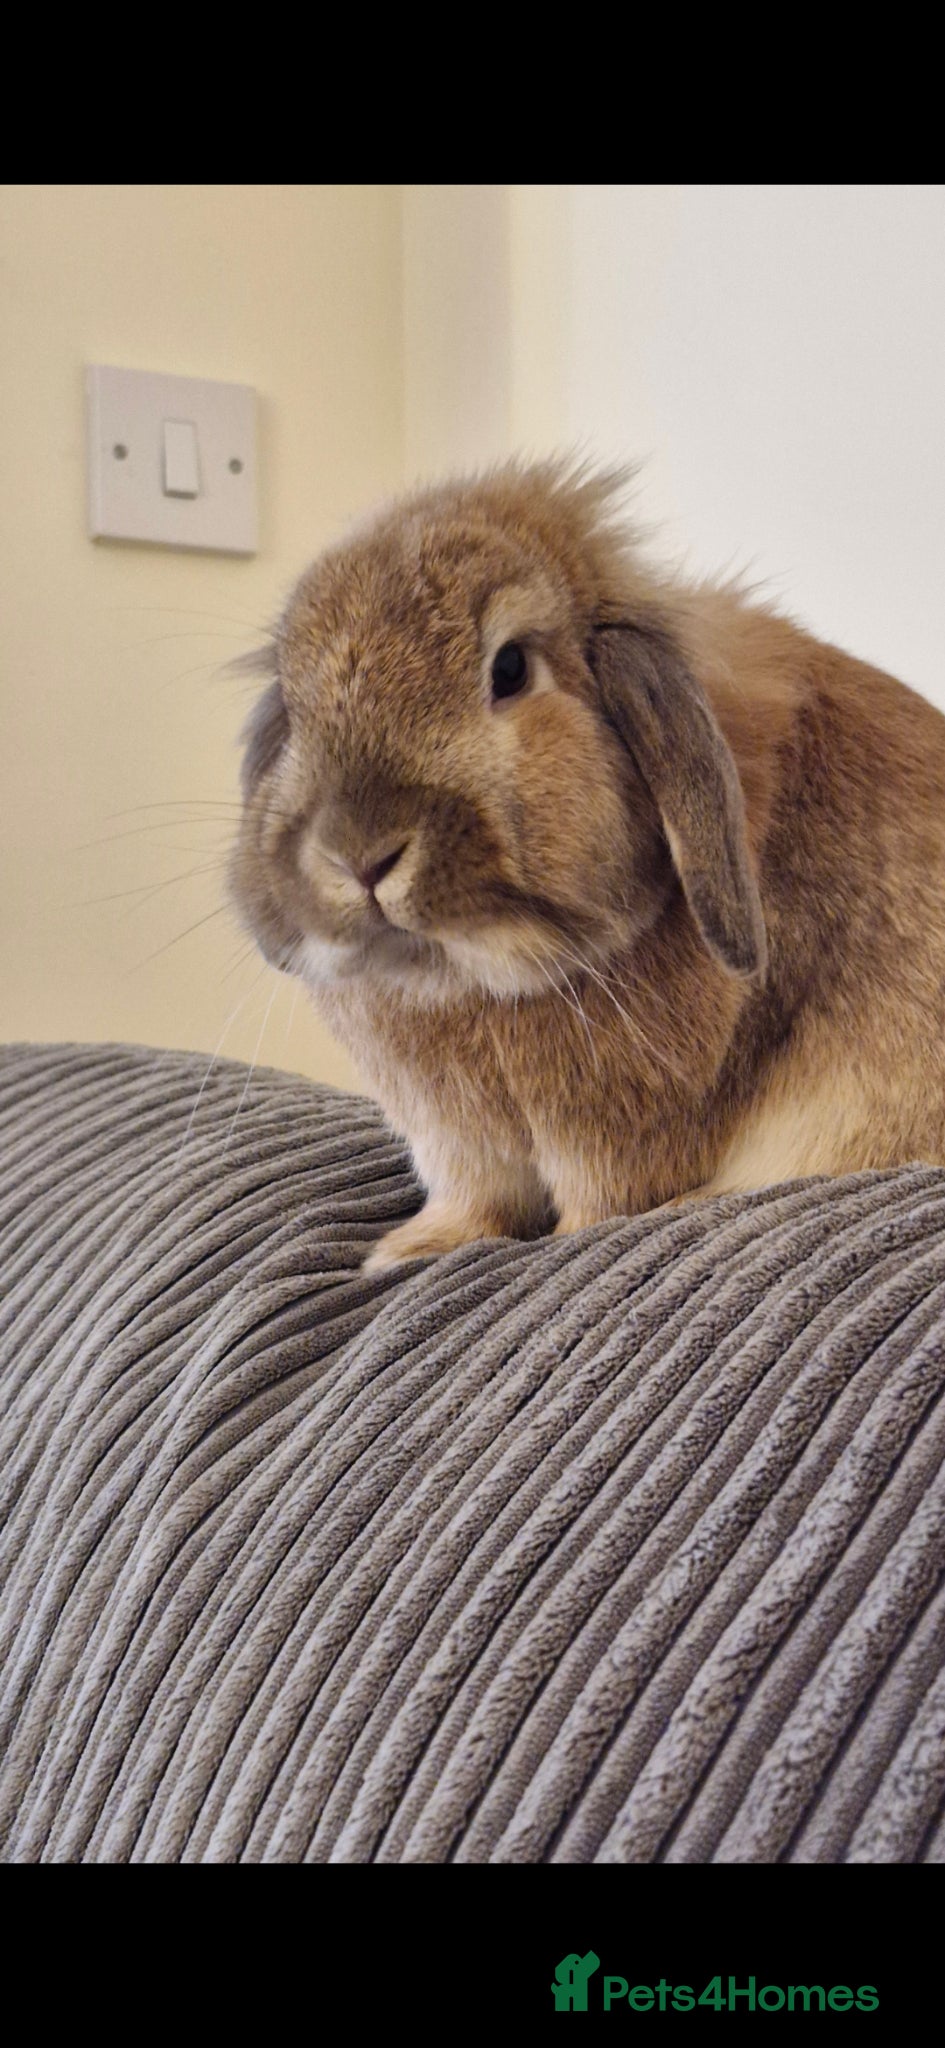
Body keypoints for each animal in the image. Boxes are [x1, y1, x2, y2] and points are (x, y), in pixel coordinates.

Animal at [229, 458, 945, 1269]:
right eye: (293, 704)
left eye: (510, 668)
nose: (358, 853)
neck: (467, 979)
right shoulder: (461, 1150)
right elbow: (471, 1205)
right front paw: (408, 1251)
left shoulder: (619, 1141)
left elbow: (595, 1208)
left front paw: (558, 1242)